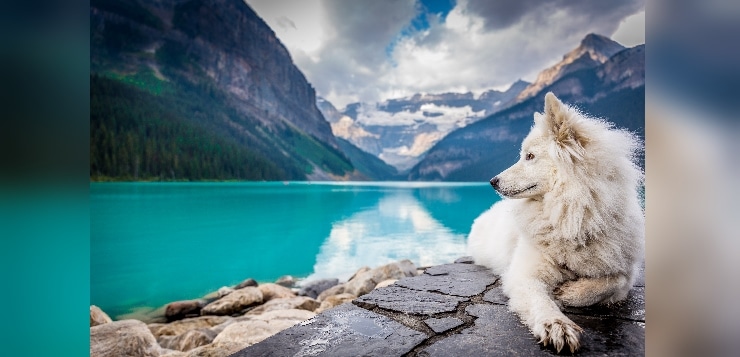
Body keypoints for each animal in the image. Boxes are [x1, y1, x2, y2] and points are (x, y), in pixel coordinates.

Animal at [466, 92, 644, 354]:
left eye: (529, 156)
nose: (492, 181)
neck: (573, 218)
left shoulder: (625, 273)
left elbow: (612, 281)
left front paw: (570, 293)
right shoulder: (525, 275)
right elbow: (541, 302)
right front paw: (556, 325)